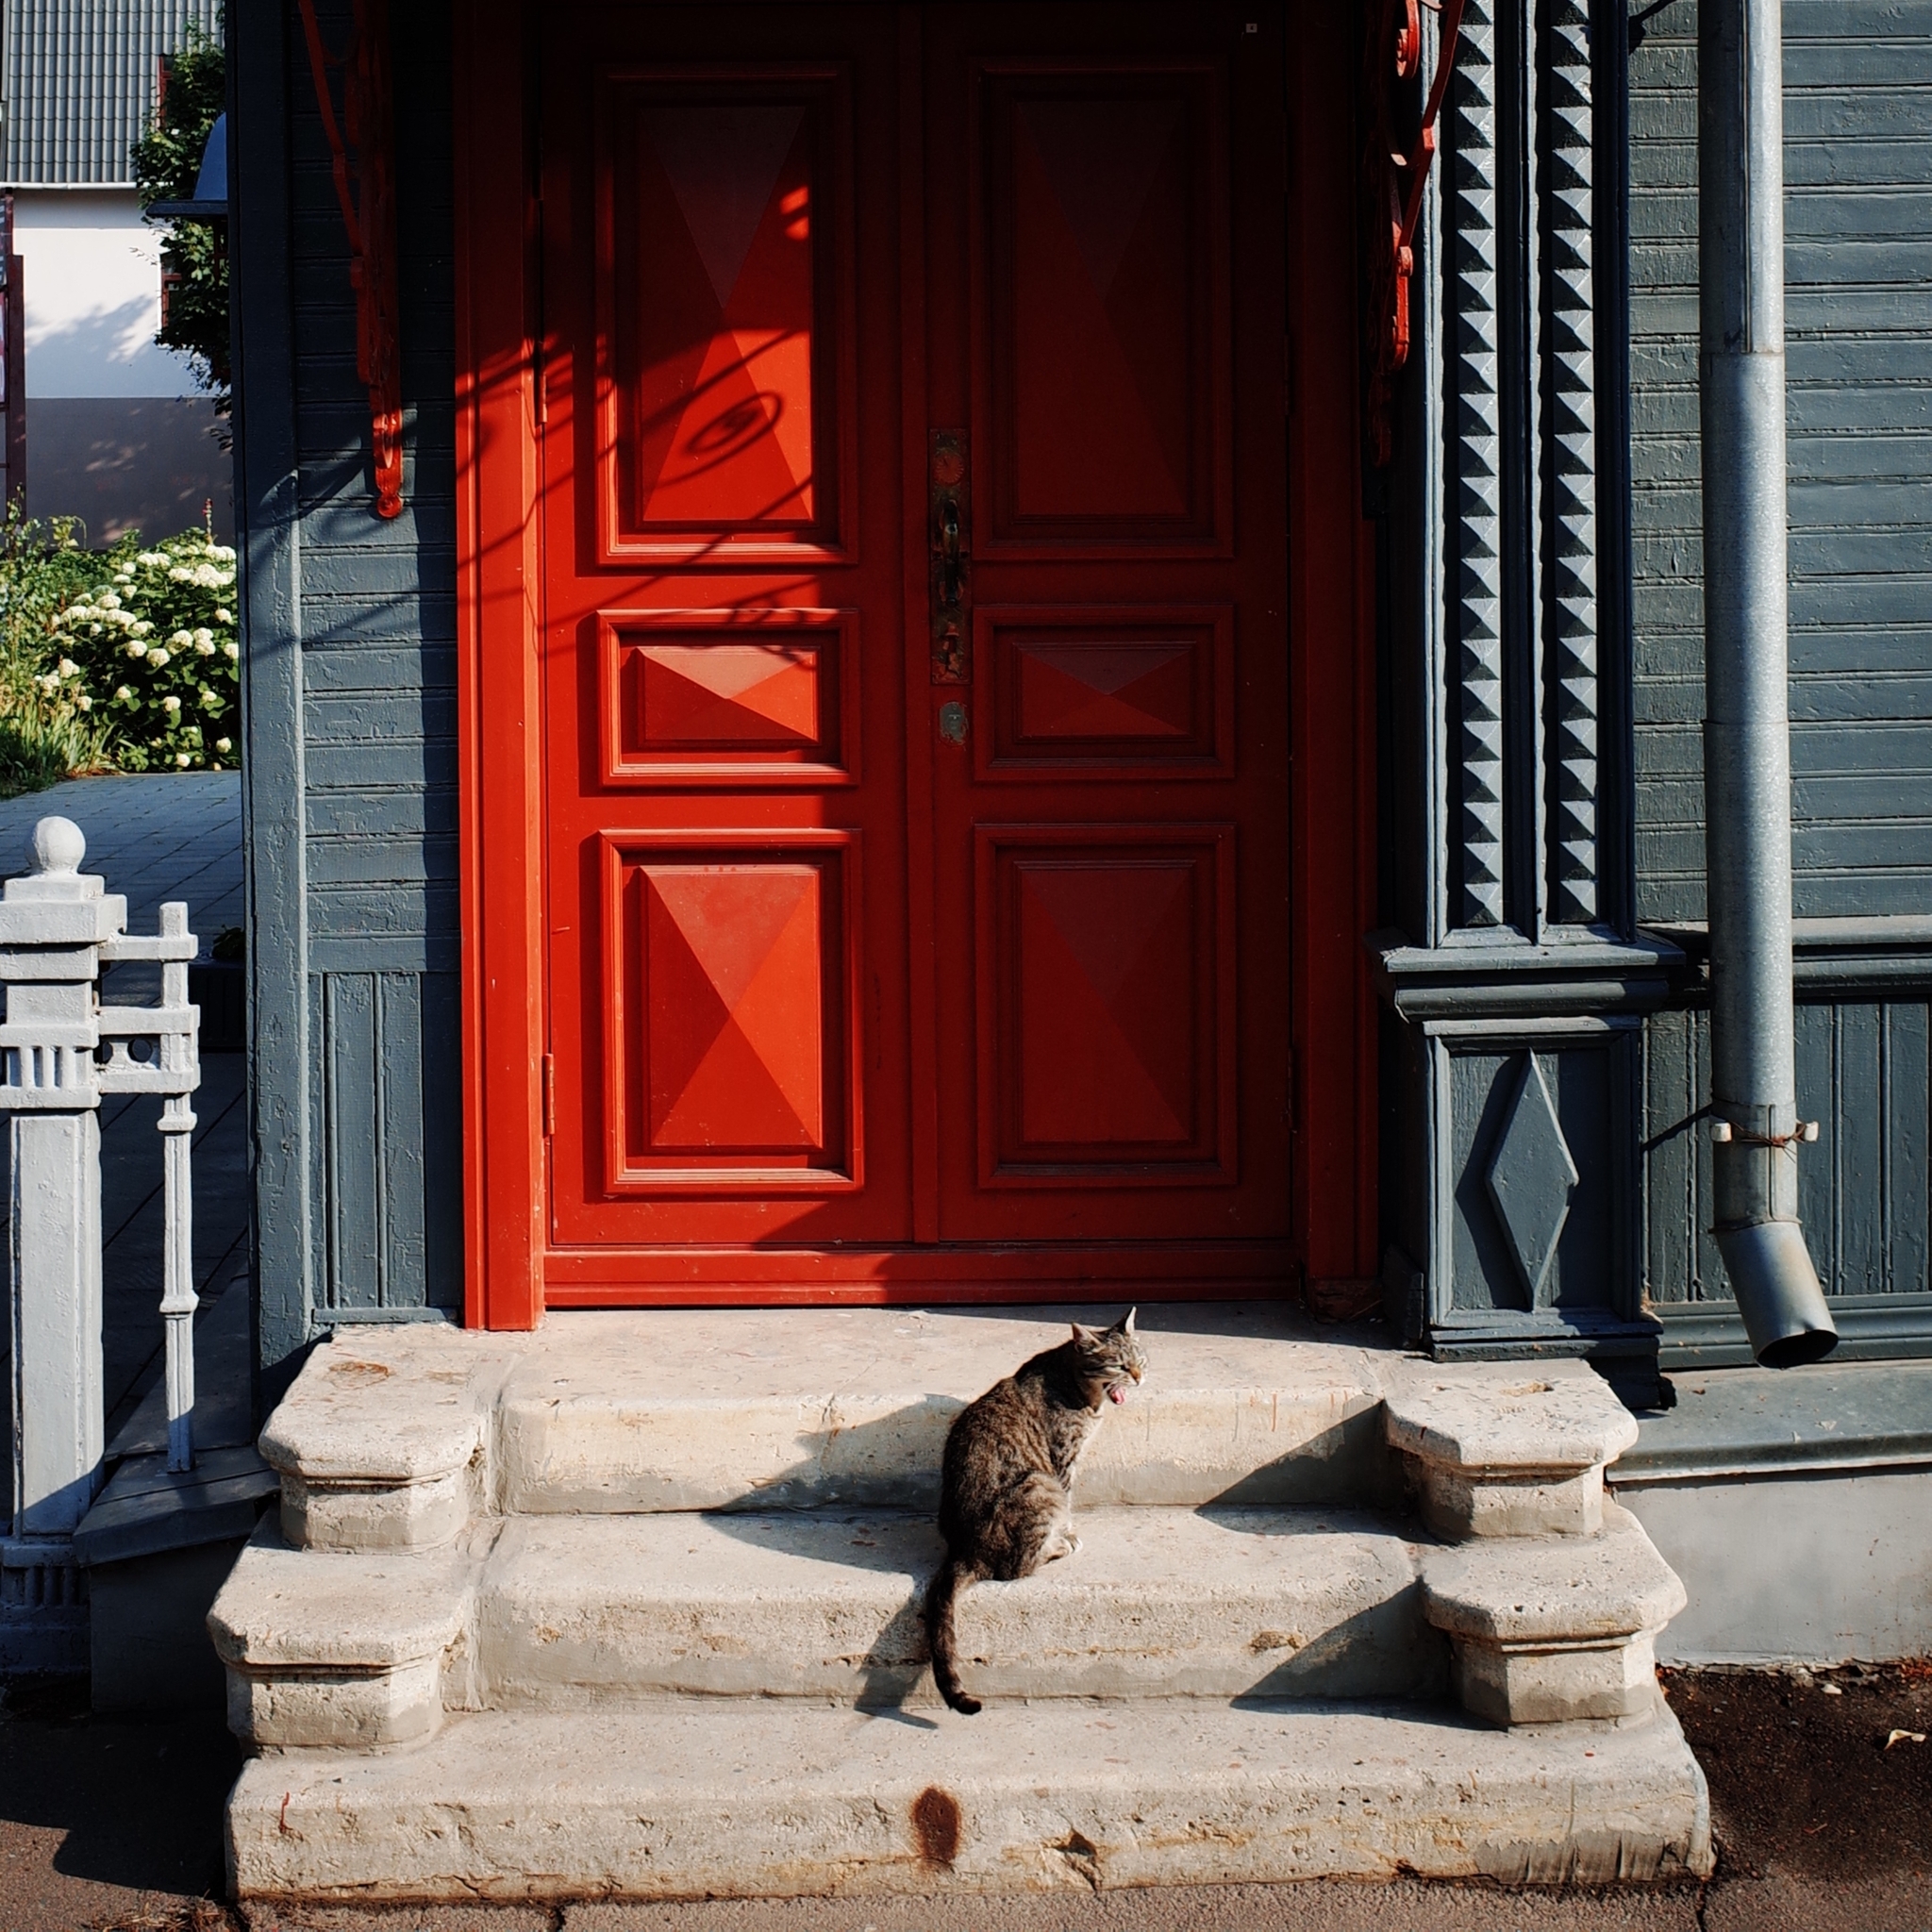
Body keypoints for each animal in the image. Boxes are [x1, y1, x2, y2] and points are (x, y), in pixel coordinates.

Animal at [923, 1313, 1143, 1723]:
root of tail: (965, 1551)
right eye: (1120, 1365)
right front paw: (1068, 1533)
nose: (1139, 1376)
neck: (1073, 1378)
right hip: (1038, 1484)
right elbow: (1069, 1502)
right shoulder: (1062, 1462)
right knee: (1015, 1568)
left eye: (1141, 1358)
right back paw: (1056, 1547)